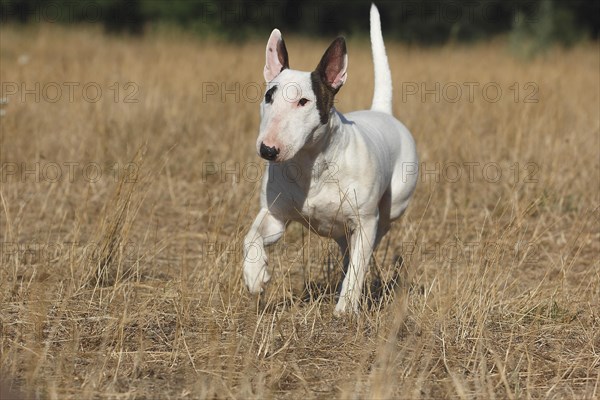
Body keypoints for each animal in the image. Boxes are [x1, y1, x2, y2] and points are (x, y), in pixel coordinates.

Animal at [243, 3, 418, 316]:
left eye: (304, 101)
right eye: (268, 96)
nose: (268, 150)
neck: (312, 164)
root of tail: (382, 111)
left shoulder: (364, 222)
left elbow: (359, 264)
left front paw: (345, 309)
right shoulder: (275, 216)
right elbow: (251, 235)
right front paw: (255, 275)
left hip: (392, 206)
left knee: (372, 241)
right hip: (340, 229)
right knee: (347, 248)